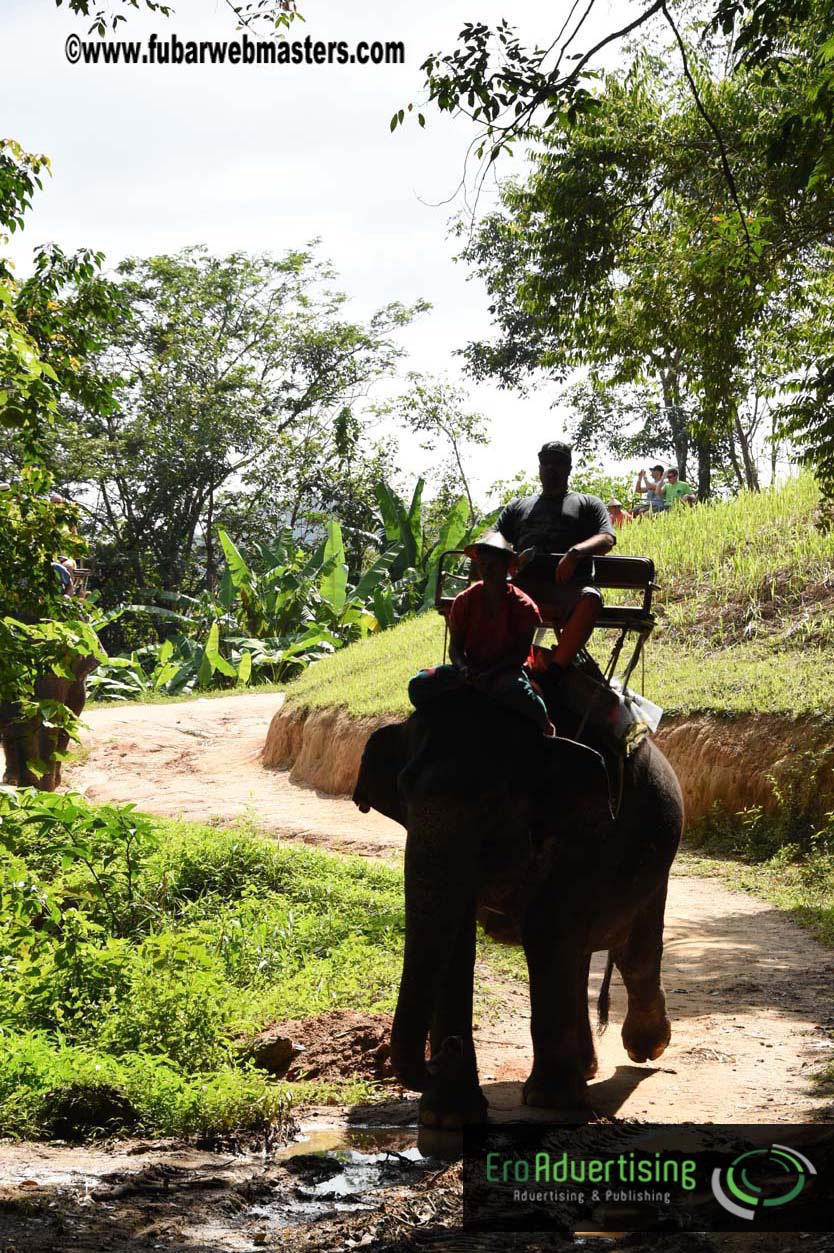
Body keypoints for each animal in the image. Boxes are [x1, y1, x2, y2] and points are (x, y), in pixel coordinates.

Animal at [352, 683, 684, 1126]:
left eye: (494, 800)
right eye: (404, 790)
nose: (447, 1049)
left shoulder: (586, 830)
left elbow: (549, 930)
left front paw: (551, 1100)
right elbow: (457, 942)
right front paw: (449, 1115)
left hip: (657, 863)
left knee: (634, 954)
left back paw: (644, 1048)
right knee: (582, 959)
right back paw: (587, 1068)